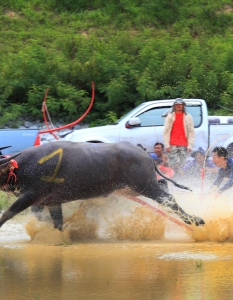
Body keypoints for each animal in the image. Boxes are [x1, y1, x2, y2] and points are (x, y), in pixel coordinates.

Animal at [0, 141, 204, 230]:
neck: (23, 167)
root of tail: (143, 152)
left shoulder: (31, 195)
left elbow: (8, 213)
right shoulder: (50, 202)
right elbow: (54, 221)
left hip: (144, 185)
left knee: (168, 198)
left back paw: (194, 220)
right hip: (132, 188)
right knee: (163, 185)